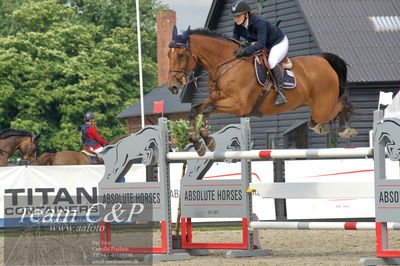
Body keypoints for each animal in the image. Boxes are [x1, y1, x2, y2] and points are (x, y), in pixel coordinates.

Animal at [167, 26, 358, 156]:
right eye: (169, 55)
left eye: (180, 55)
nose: (173, 87)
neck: (226, 64)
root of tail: (323, 60)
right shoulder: (218, 97)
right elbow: (195, 110)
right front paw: (198, 144)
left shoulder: (239, 105)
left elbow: (207, 109)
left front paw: (208, 140)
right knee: (321, 117)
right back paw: (318, 126)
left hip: (323, 107)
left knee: (341, 105)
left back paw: (345, 129)